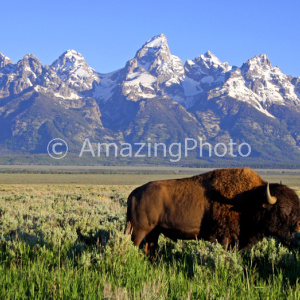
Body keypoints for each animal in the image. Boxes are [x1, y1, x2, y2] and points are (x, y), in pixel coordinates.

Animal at [124, 166, 300, 258]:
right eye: (283, 208)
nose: (297, 226)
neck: (251, 199)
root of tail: (133, 194)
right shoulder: (224, 238)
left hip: (153, 232)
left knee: (149, 249)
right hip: (139, 231)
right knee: (133, 246)